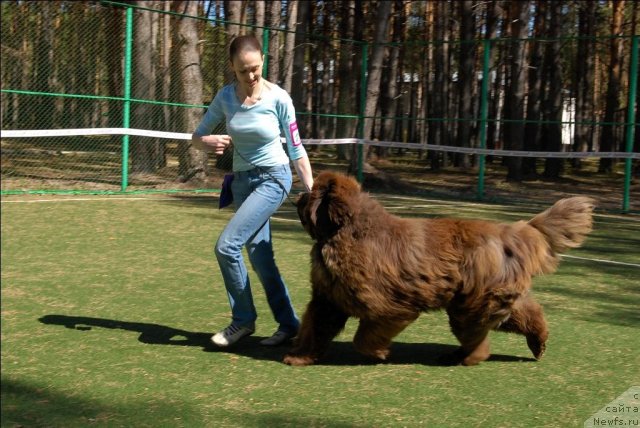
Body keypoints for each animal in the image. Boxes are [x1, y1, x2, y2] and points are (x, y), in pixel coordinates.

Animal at [284, 172, 596, 366]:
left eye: (312, 193)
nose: (297, 195)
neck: (345, 232)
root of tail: (510, 232)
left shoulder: (389, 306)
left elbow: (365, 338)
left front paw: (379, 353)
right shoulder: (329, 300)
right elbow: (316, 327)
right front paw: (301, 356)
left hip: (472, 304)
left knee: (478, 339)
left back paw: (466, 358)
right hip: (488, 300)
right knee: (525, 315)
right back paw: (536, 343)